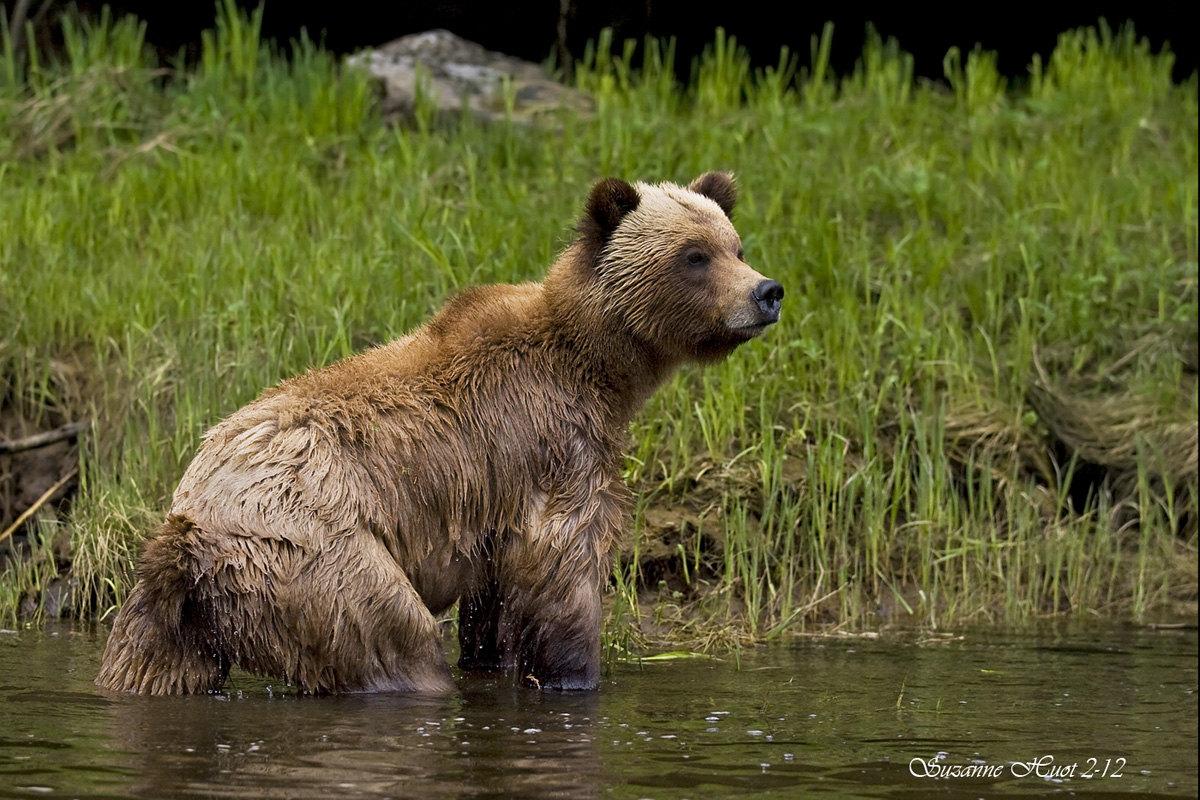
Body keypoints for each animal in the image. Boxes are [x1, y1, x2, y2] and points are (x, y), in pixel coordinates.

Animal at [95, 171, 783, 695]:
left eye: (736, 245)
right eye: (694, 256)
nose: (767, 291)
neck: (597, 367)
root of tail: (191, 528)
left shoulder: (498, 504)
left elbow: (495, 607)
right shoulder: (554, 448)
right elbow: (562, 572)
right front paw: (575, 675)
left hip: (176, 613)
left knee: (151, 669)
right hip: (316, 553)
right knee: (396, 642)